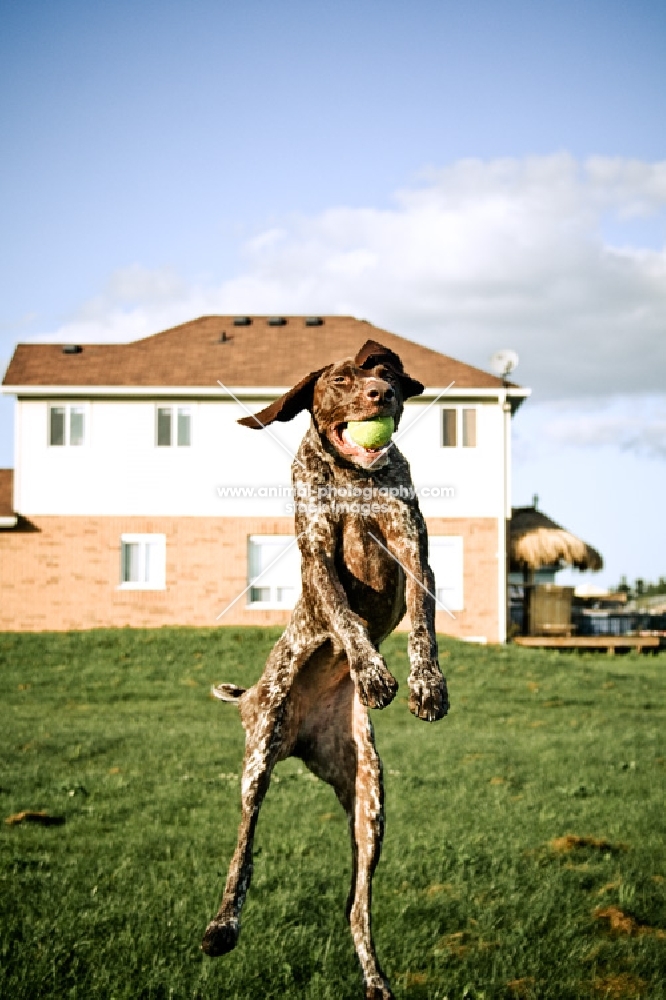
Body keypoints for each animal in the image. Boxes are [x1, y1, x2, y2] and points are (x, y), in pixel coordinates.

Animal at [202, 340, 448, 996]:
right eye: (340, 380)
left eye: (387, 373)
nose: (380, 395)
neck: (352, 474)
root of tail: (300, 740)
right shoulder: (317, 553)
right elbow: (345, 617)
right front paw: (373, 672)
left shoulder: (412, 548)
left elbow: (421, 627)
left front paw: (426, 684)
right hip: (258, 757)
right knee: (243, 851)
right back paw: (222, 925)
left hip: (369, 798)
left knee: (357, 906)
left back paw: (376, 981)